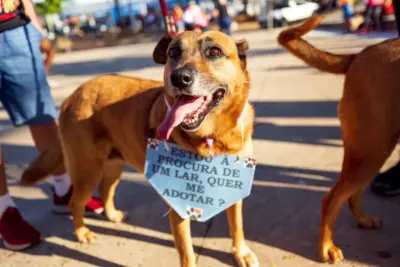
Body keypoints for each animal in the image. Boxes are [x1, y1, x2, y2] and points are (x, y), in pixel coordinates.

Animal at [21, 31, 260, 267]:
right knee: (75, 203)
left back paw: (112, 215)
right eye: (173, 52)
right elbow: (187, 252)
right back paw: (82, 233)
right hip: (87, 171)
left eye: (214, 52)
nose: (178, 78)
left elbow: (236, 225)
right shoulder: (177, 204)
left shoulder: (233, 189)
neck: (212, 138)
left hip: (113, 166)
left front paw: (241, 253)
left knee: (105, 189)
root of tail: (73, 94)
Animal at [278, 16, 400, 264]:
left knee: (353, 194)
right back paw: (327, 248)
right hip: (373, 148)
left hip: (372, 151)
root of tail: (359, 55)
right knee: (332, 199)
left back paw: (363, 219)